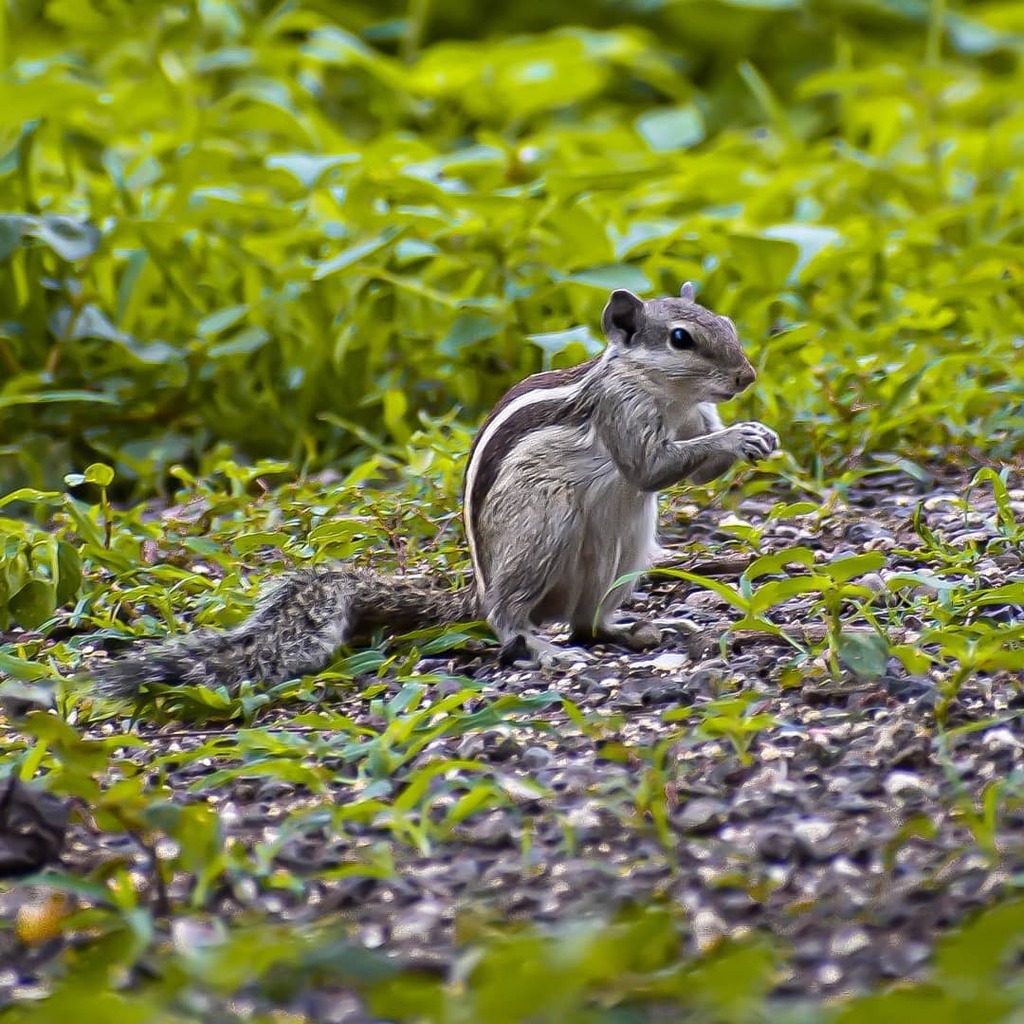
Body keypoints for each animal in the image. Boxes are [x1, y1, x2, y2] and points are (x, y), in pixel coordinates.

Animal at [90, 283, 778, 698]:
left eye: (726, 321)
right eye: (682, 339)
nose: (746, 377)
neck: (667, 393)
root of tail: (478, 589)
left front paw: (754, 436)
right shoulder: (620, 411)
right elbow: (648, 467)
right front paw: (741, 435)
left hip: (626, 549)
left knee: (587, 622)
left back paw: (625, 631)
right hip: (538, 535)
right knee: (512, 619)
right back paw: (539, 646)